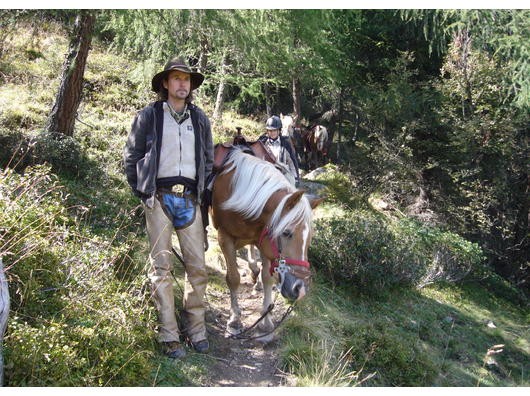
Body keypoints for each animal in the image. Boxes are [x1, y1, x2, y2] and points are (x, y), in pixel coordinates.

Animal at [210, 147, 322, 342]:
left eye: (309, 239)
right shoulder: (225, 238)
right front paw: (234, 320)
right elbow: (233, 278)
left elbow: (268, 278)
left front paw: (265, 322)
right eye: (286, 233)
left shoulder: (265, 243)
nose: (300, 289)